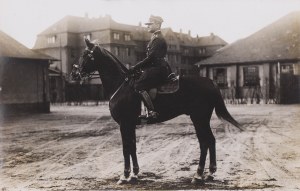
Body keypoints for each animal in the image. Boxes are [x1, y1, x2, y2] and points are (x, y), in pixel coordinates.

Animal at [71, 38, 241, 184]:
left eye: (86, 55)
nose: (74, 74)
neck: (121, 85)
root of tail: (210, 82)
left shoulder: (124, 124)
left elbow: (126, 147)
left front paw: (125, 175)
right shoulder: (130, 124)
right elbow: (132, 146)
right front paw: (135, 174)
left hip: (199, 118)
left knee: (205, 142)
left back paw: (199, 175)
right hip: (201, 119)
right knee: (210, 140)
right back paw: (210, 173)